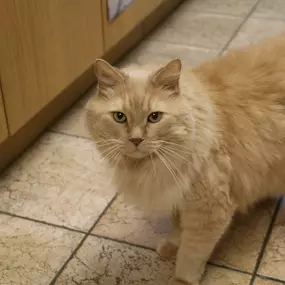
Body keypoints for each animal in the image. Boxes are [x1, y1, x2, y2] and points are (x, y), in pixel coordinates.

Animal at [85, 33, 284, 284]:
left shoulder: (208, 211)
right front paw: (171, 246)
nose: (136, 139)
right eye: (120, 117)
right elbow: (177, 229)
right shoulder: (178, 196)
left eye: (154, 117)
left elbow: (191, 255)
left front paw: (181, 279)